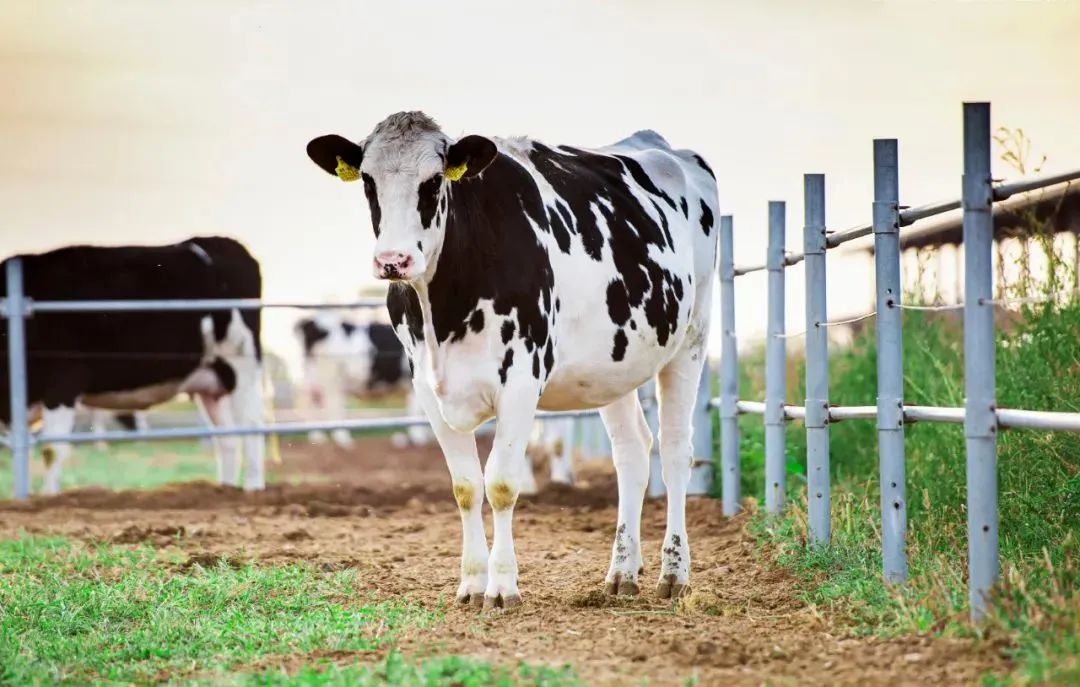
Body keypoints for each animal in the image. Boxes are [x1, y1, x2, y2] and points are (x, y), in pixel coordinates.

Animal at [0, 237, 265, 494]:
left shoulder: (62, 382)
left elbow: (53, 448)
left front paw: (48, 497)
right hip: (210, 381)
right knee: (227, 437)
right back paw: (225, 489)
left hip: (241, 363)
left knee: (252, 425)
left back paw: (253, 488)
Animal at [304, 111, 717, 604]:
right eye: (368, 180)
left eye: (433, 181)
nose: (393, 260)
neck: (444, 311)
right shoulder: (426, 387)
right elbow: (465, 486)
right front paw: (470, 582)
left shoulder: (522, 378)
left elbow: (501, 482)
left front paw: (502, 586)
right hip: (615, 362)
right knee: (633, 452)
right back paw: (622, 573)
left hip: (691, 337)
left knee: (675, 452)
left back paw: (674, 574)